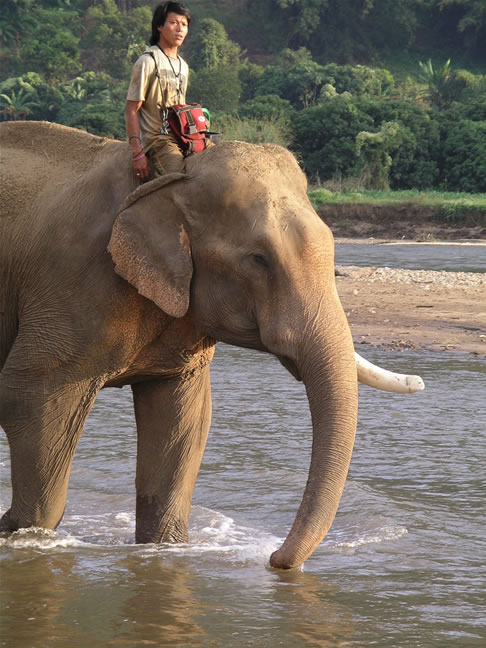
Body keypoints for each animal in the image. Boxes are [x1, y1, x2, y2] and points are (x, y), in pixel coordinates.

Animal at [0, 122, 423, 569]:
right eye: (259, 259)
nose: (276, 558)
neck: (171, 182)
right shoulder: (72, 284)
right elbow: (32, 399)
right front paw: (17, 533)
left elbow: (183, 419)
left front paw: (165, 548)